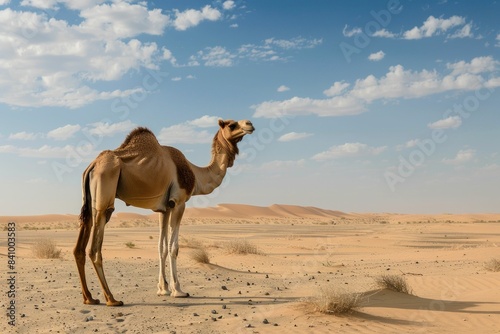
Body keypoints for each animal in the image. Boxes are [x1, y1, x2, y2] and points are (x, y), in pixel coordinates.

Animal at [73, 119, 254, 306]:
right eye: (232, 125)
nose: (250, 124)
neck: (195, 174)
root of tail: (92, 165)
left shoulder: (164, 208)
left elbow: (161, 247)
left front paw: (163, 289)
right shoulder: (179, 202)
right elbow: (173, 248)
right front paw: (178, 290)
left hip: (89, 202)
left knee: (79, 247)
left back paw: (90, 298)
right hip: (104, 195)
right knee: (94, 248)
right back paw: (112, 299)